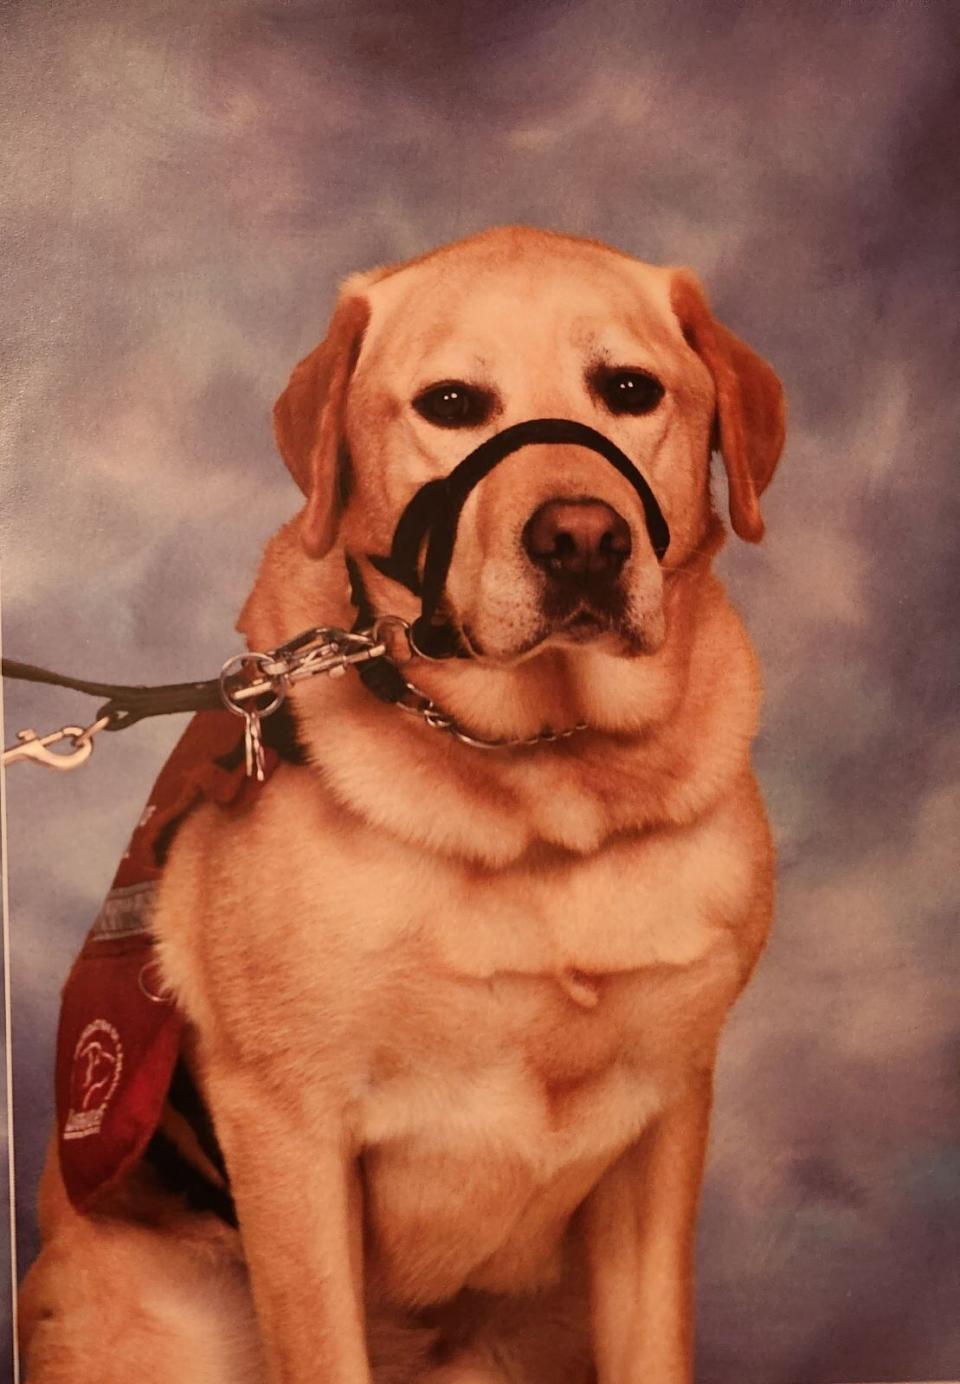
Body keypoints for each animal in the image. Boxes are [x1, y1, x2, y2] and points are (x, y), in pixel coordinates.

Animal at [20, 229, 791, 1384]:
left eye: (629, 389)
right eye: (451, 403)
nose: (582, 539)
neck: (542, 780)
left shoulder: (666, 1119)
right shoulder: (289, 1127)